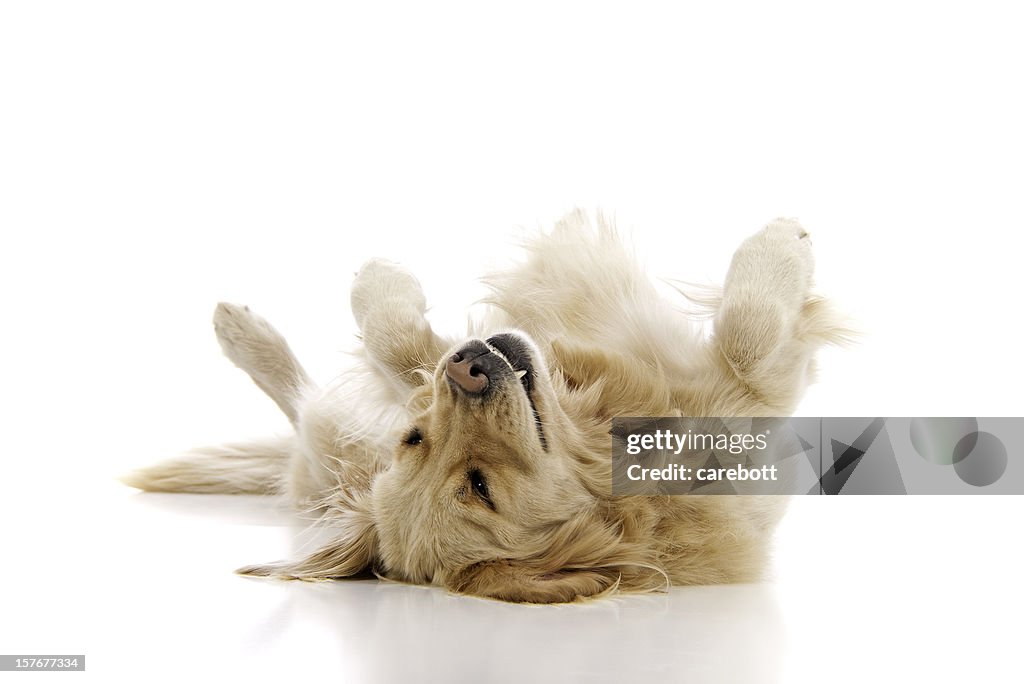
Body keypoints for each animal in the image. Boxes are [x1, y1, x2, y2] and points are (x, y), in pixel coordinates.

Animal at [125, 211, 847, 602]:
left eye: (414, 439)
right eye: (479, 488)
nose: (469, 370)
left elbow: (397, 341)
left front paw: (379, 279)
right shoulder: (750, 407)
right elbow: (751, 334)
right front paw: (784, 242)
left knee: (311, 412)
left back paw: (241, 329)